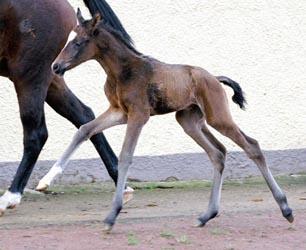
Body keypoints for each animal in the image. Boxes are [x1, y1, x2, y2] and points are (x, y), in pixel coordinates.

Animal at [50, 9, 294, 232]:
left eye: (79, 42)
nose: (55, 66)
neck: (123, 71)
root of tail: (215, 78)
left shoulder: (138, 115)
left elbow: (125, 156)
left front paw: (112, 215)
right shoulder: (119, 112)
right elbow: (84, 129)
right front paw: (47, 180)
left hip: (217, 117)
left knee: (252, 146)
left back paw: (286, 209)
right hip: (189, 120)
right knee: (218, 153)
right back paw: (206, 215)